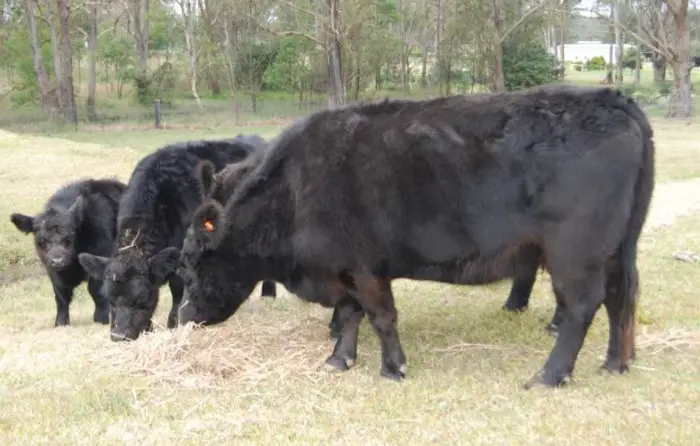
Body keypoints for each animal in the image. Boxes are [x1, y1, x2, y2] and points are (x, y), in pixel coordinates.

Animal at [10, 178, 126, 327]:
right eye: (41, 240)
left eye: (69, 237)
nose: (58, 261)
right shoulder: (52, 271)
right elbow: (61, 295)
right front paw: (60, 322)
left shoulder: (99, 260)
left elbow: (96, 290)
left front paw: (101, 319)